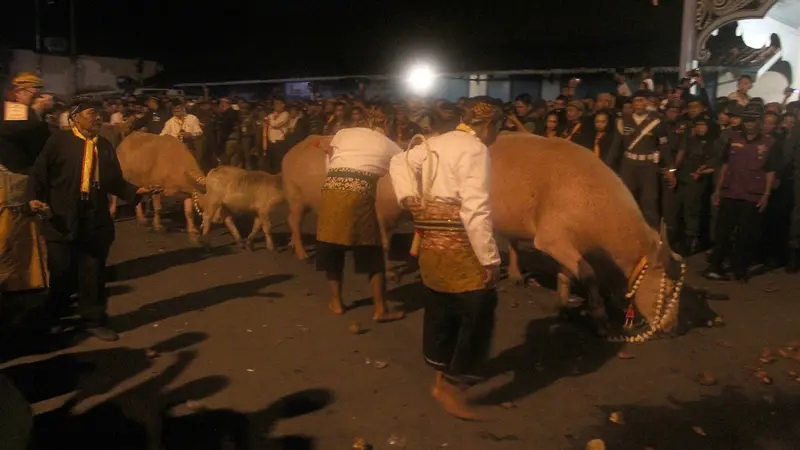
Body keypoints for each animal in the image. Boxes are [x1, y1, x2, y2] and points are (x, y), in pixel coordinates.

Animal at [284, 132, 692, 340]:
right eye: (668, 287)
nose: (672, 330)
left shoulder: (565, 244)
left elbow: (570, 272)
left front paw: (565, 303)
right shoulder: (553, 238)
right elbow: (587, 274)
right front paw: (598, 316)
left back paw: (513, 272)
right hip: (349, 206)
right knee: (367, 236)